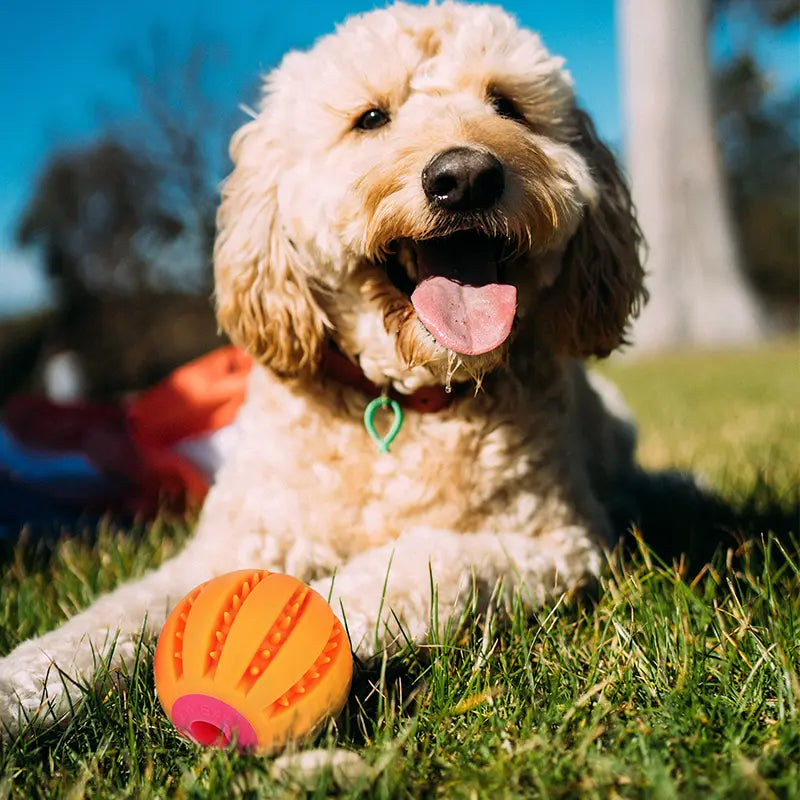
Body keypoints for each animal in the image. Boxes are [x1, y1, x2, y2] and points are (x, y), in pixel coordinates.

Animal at [0, 1, 648, 736]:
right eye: (370, 117)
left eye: (506, 104)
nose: (464, 177)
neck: (399, 401)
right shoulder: (235, 540)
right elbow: (122, 609)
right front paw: (29, 680)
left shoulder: (553, 543)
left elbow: (414, 568)